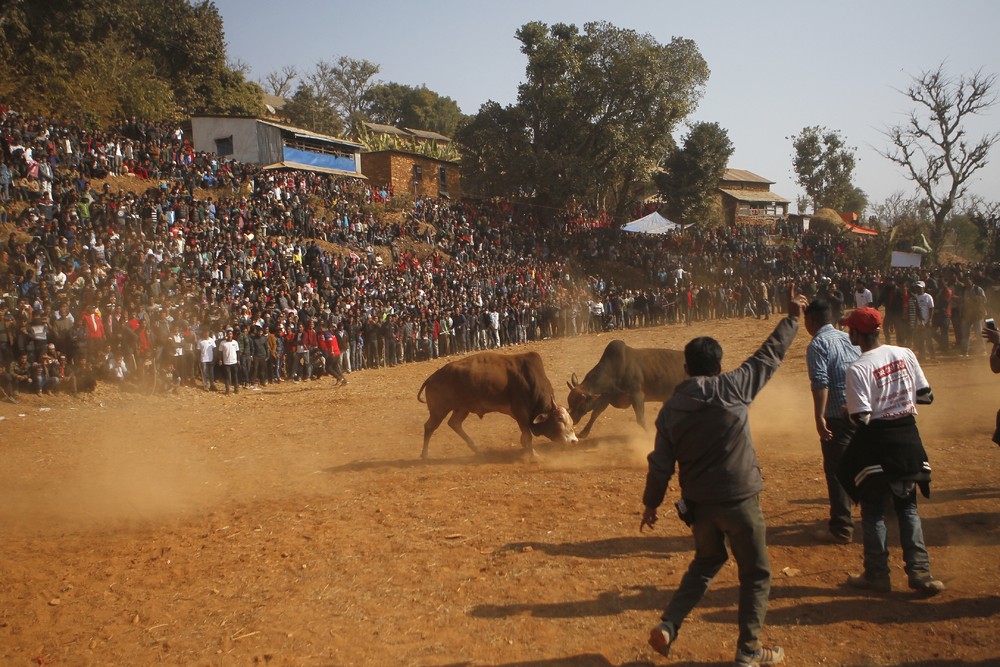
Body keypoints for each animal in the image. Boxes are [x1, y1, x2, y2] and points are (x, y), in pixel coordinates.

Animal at [418, 350, 580, 460]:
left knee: (454, 423)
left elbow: (524, 438)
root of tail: (432, 378)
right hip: (439, 410)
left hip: (462, 408)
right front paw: (533, 455)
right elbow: (527, 436)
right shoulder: (521, 414)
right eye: (559, 419)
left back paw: (476, 449)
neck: (530, 381)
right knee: (429, 427)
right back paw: (424, 454)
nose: (574, 441)